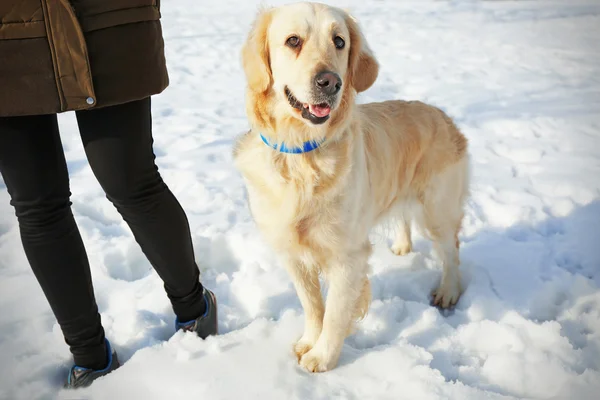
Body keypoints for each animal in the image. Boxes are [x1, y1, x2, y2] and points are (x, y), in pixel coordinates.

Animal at [233, 2, 468, 372]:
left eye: (339, 41)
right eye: (293, 40)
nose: (330, 81)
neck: (302, 154)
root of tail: (443, 115)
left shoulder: (347, 256)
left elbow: (334, 313)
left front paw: (322, 358)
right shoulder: (291, 251)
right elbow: (312, 304)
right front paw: (308, 341)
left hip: (437, 209)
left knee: (451, 250)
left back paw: (448, 291)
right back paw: (402, 246)